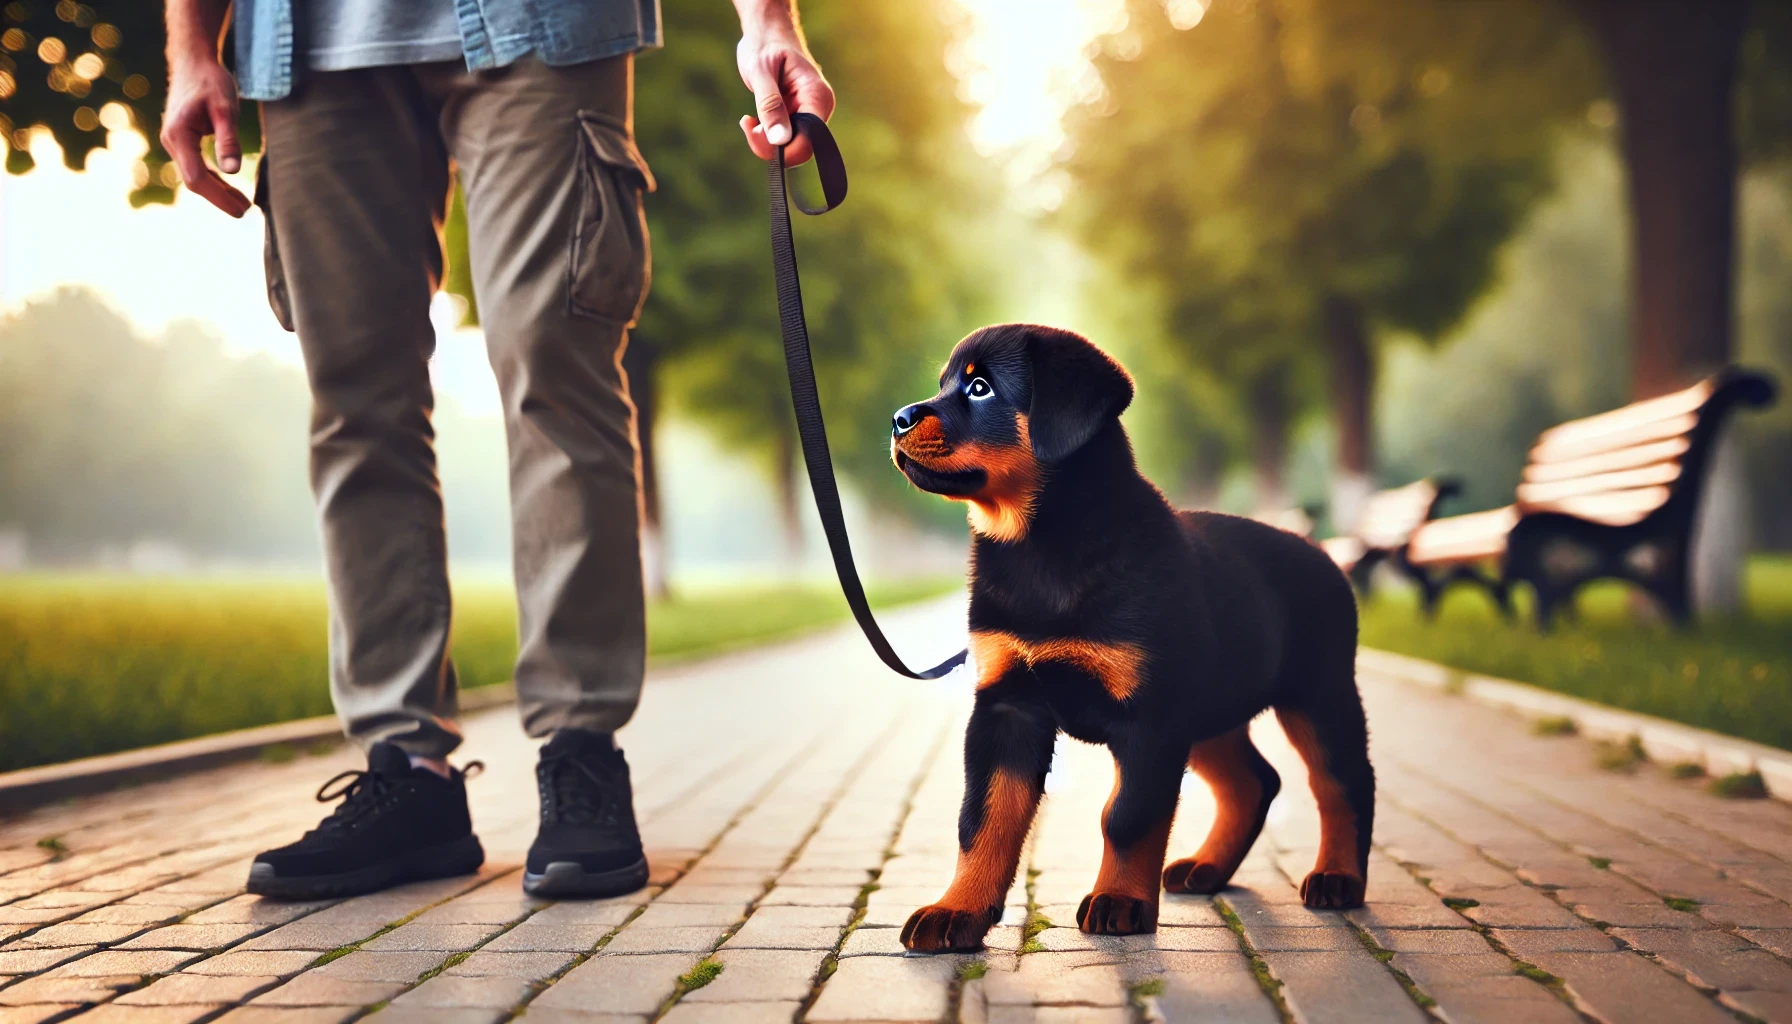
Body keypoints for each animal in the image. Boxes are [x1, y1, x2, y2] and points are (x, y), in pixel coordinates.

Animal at [885, 326, 1369, 954]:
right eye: (945, 383)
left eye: (980, 387)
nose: (898, 418)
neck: (1038, 548)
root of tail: (1325, 554)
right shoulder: (1006, 706)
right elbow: (982, 818)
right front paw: (958, 909)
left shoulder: (1150, 717)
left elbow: (1129, 815)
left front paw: (1119, 901)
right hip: (1209, 709)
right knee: (1254, 781)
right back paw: (1208, 867)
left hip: (1319, 694)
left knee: (1342, 782)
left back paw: (1338, 877)